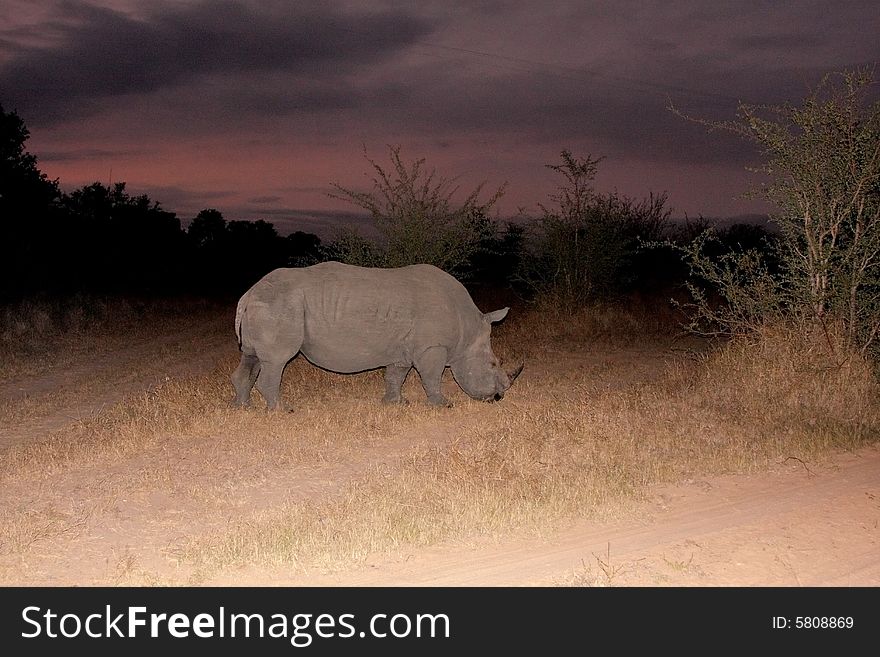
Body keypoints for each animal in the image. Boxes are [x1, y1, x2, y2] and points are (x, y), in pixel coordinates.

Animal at [232, 260, 524, 404]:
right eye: (493, 363)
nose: (498, 397)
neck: (467, 328)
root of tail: (248, 294)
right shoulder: (432, 346)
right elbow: (432, 377)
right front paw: (443, 404)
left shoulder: (403, 348)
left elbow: (395, 375)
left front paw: (395, 403)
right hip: (280, 305)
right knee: (276, 360)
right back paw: (281, 410)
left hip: (267, 304)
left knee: (251, 357)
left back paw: (242, 408)